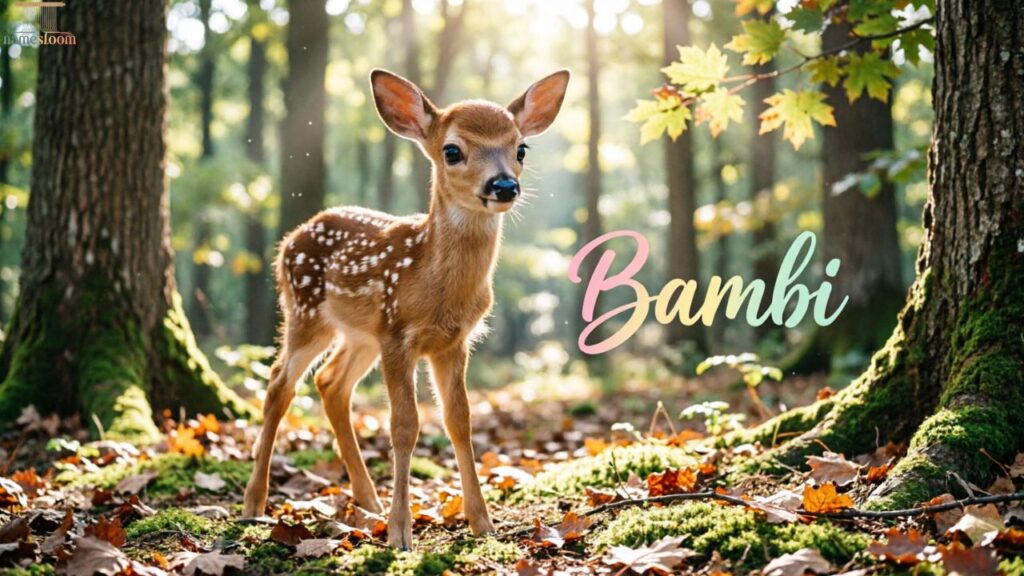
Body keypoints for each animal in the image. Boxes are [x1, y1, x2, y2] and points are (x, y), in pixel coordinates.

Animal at [242, 68, 570, 549]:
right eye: (452, 150)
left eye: (521, 148)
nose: (504, 185)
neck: (433, 281)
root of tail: (289, 239)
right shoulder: (399, 333)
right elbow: (404, 425)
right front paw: (400, 532)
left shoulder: (453, 341)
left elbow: (459, 420)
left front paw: (482, 522)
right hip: (305, 311)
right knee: (279, 383)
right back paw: (255, 502)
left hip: (361, 334)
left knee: (330, 382)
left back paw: (367, 500)